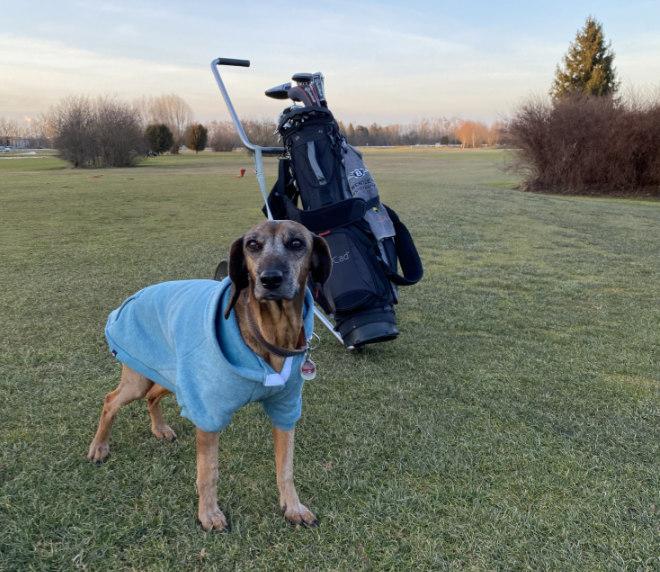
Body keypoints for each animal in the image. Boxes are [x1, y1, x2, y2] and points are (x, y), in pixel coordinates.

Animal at [87, 220, 332, 532]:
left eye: (297, 243)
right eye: (252, 244)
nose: (270, 279)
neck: (269, 332)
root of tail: (136, 295)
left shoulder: (286, 407)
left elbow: (286, 467)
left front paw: (293, 507)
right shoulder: (208, 413)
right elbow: (209, 472)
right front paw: (209, 514)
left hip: (173, 375)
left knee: (153, 396)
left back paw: (160, 429)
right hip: (140, 378)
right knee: (111, 400)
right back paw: (99, 447)